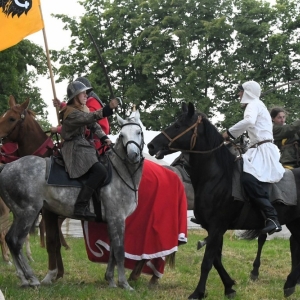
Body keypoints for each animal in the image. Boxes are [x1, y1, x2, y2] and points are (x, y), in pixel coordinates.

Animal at [0, 111, 144, 290]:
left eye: (139, 132)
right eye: (122, 135)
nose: (133, 155)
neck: (120, 172)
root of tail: (6, 167)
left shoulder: (112, 220)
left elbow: (112, 251)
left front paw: (110, 280)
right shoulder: (117, 218)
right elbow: (119, 250)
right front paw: (124, 284)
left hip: (19, 213)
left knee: (9, 238)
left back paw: (24, 278)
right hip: (28, 213)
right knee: (15, 240)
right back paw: (32, 278)